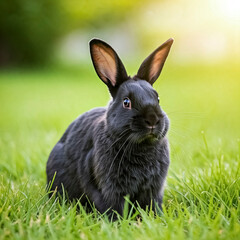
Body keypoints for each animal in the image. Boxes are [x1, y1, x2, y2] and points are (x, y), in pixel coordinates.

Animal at [47, 38, 173, 218]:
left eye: (158, 99)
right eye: (126, 102)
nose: (153, 120)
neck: (141, 146)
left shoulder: (153, 189)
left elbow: (152, 203)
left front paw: (155, 217)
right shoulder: (108, 189)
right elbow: (112, 205)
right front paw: (117, 220)